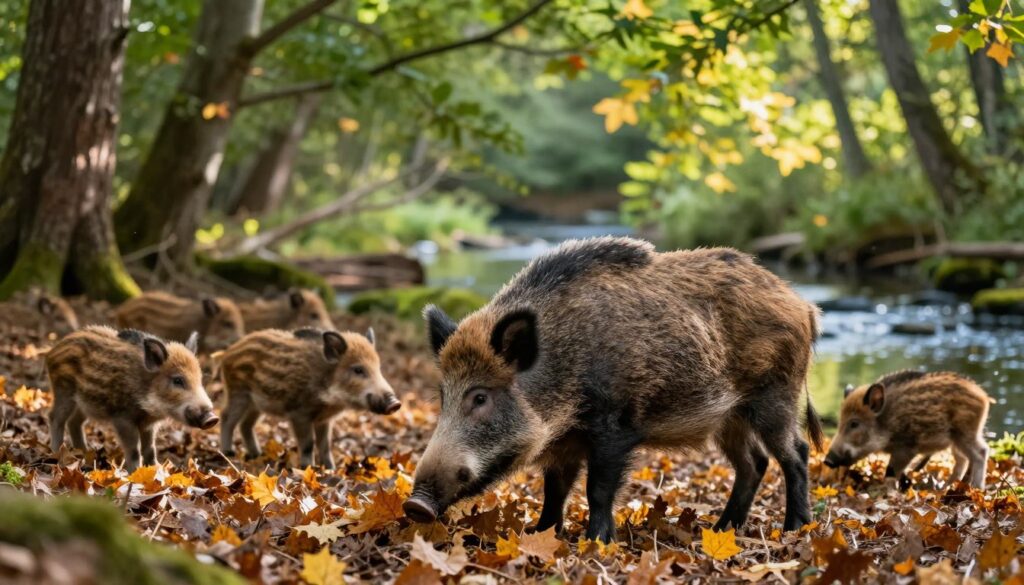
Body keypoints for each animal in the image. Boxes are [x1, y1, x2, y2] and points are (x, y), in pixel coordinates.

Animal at [46, 325, 219, 470]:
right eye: (178, 380)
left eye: (200, 379)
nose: (212, 418)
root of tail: (53, 350)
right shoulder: (122, 418)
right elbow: (134, 450)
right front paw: (134, 473)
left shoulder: (149, 424)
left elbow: (150, 449)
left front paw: (157, 470)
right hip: (63, 392)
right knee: (55, 417)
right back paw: (56, 454)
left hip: (84, 404)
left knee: (74, 422)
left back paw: (86, 455)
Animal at [219, 327, 401, 469]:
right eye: (358, 370)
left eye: (378, 367)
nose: (395, 403)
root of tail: (226, 353)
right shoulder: (299, 413)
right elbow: (308, 443)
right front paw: (308, 468)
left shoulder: (324, 419)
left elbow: (325, 445)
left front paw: (331, 469)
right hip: (238, 393)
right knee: (226, 417)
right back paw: (228, 452)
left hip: (256, 404)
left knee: (245, 424)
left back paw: (257, 454)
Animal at [403, 237, 824, 542]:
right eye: (443, 397)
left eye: (480, 397)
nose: (415, 505)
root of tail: (804, 305)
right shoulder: (564, 442)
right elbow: (554, 489)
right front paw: (541, 534)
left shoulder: (614, 425)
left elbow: (598, 489)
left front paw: (598, 541)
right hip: (729, 417)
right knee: (754, 462)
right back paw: (722, 530)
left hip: (775, 395)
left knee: (795, 454)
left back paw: (793, 529)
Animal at [824, 370, 990, 488]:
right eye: (840, 421)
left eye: (854, 423)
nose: (827, 461)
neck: (887, 421)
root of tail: (984, 396)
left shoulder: (906, 447)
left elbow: (890, 472)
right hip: (957, 440)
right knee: (962, 460)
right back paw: (946, 489)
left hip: (965, 432)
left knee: (981, 452)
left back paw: (976, 488)